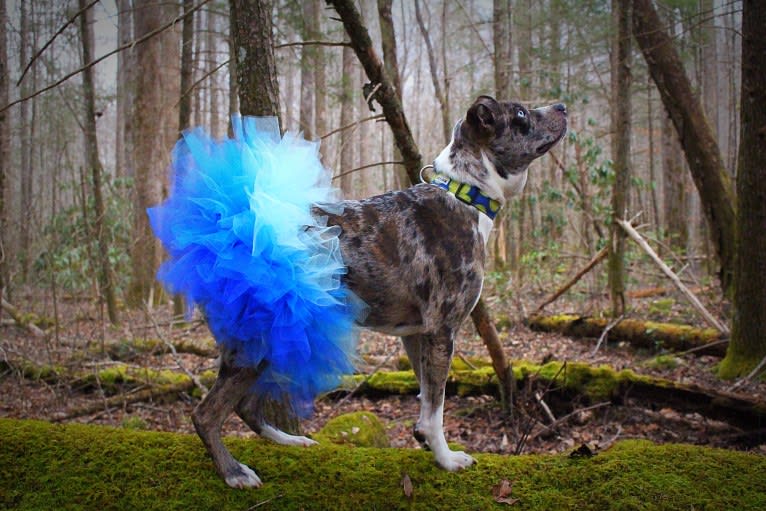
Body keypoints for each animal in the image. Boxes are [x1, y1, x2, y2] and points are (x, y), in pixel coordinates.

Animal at [190, 95, 568, 488]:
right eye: (521, 113)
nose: (562, 107)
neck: (464, 195)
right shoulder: (441, 331)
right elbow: (437, 406)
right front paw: (446, 459)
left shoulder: (416, 335)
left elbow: (426, 399)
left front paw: (425, 442)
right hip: (254, 343)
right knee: (206, 414)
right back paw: (234, 472)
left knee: (245, 407)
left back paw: (290, 440)